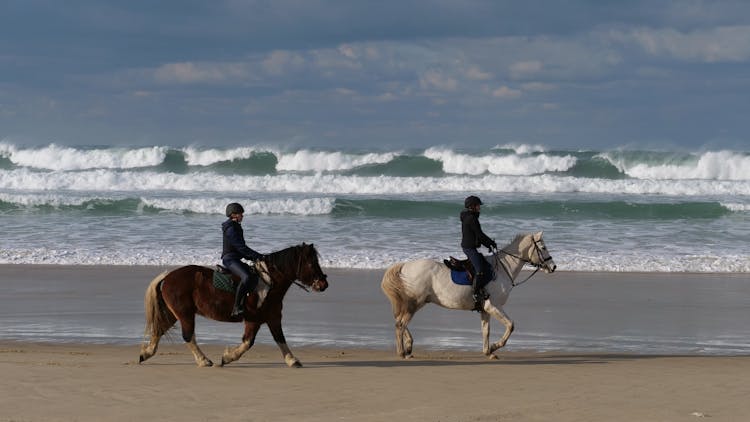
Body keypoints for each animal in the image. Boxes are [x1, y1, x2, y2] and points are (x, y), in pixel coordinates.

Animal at [140, 242, 328, 368]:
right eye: (311, 263)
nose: (324, 284)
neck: (268, 283)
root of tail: (168, 277)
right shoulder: (253, 319)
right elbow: (248, 343)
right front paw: (227, 358)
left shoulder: (273, 317)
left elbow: (280, 338)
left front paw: (292, 360)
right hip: (185, 314)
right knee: (188, 336)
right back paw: (203, 360)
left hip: (174, 314)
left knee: (159, 330)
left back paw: (145, 354)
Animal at [384, 232, 556, 358]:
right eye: (543, 247)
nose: (553, 267)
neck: (502, 269)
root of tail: (405, 265)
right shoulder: (493, 306)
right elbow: (510, 325)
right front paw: (495, 346)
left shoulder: (485, 309)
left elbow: (486, 330)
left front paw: (488, 351)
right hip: (415, 303)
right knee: (400, 324)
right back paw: (402, 352)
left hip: (416, 302)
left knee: (399, 321)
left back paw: (408, 346)